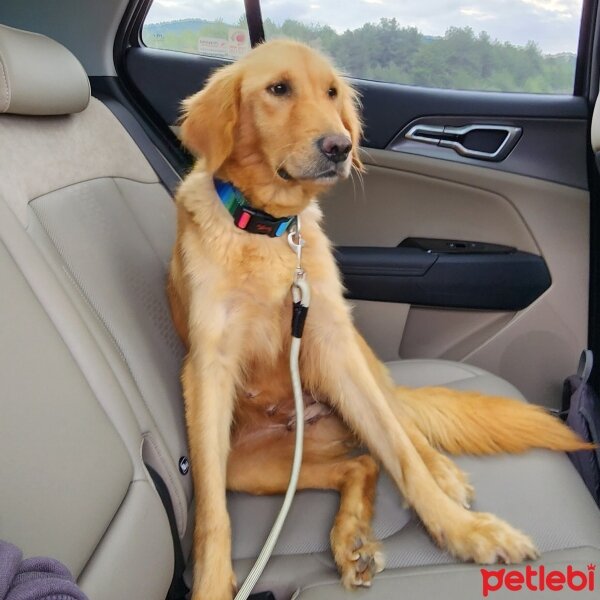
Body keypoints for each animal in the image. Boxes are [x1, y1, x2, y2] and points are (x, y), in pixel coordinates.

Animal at [168, 39, 592, 596]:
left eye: (331, 92)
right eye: (278, 89)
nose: (339, 146)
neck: (268, 230)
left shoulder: (334, 346)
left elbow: (402, 455)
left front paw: (464, 531)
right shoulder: (208, 369)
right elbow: (213, 510)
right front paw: (214, 584)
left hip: (357, 370)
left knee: (401, 431)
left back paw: (441, 477)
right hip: (252, 463)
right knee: (361, 464)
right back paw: (351, 539)